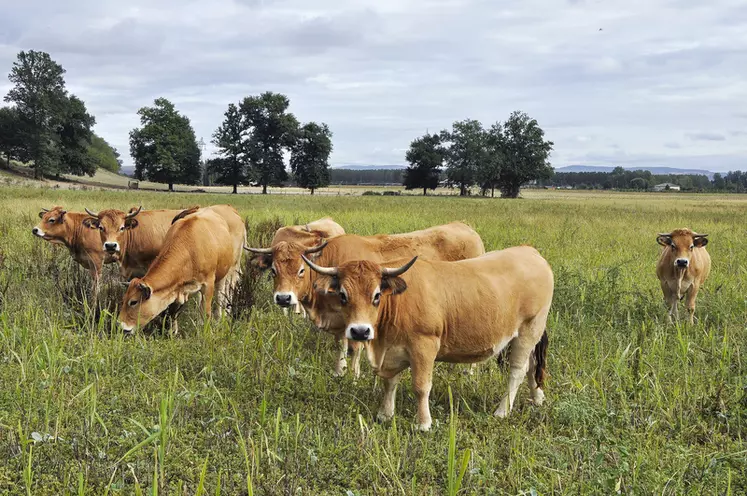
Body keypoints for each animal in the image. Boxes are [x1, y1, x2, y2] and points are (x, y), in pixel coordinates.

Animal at [118, 205, 246, 334]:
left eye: (133, 302)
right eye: (123, 300)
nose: (121, 327)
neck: (189, 249)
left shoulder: (208, 284)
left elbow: (206, 312)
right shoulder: (176, 287)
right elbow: (173, 311)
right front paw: (172, 331)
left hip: (230, 269)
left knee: (222, 293)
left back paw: (221, 316)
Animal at [246, 221, 485, 378]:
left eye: (301, 270)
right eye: (274, 270)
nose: (283, 298)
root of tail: (465, 227)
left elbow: (355, 347)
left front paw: (353, 375)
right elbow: (341, 344)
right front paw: (339, 370)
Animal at [301, 244, 554, 431]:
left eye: (376, 295)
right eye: (343, 295)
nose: (360, 331)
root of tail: (530, 252)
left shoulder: (424, 347)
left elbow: (421, 386)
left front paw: (423, 423)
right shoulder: (391, 352)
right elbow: (389, 382)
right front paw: (385, 414)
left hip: (528, 330)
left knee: (518, 371)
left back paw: (502, 410)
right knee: (533, 366)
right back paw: (538, 398)